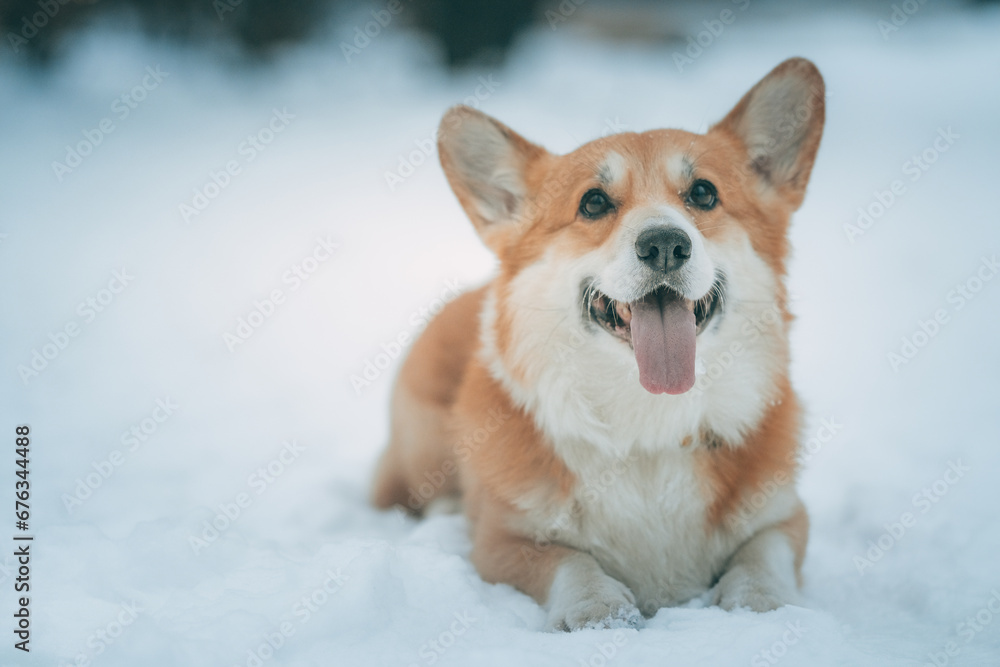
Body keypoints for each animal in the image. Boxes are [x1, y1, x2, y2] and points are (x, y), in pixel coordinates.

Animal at [372, 58, 824, 632]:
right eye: (593, 203)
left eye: (703, 193)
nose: (664, 244)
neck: (648, 423)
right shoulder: (502, 540)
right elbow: (568, 560)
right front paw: (597, 608)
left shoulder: (786, 517)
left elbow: (764, 555)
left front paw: (760, 603)